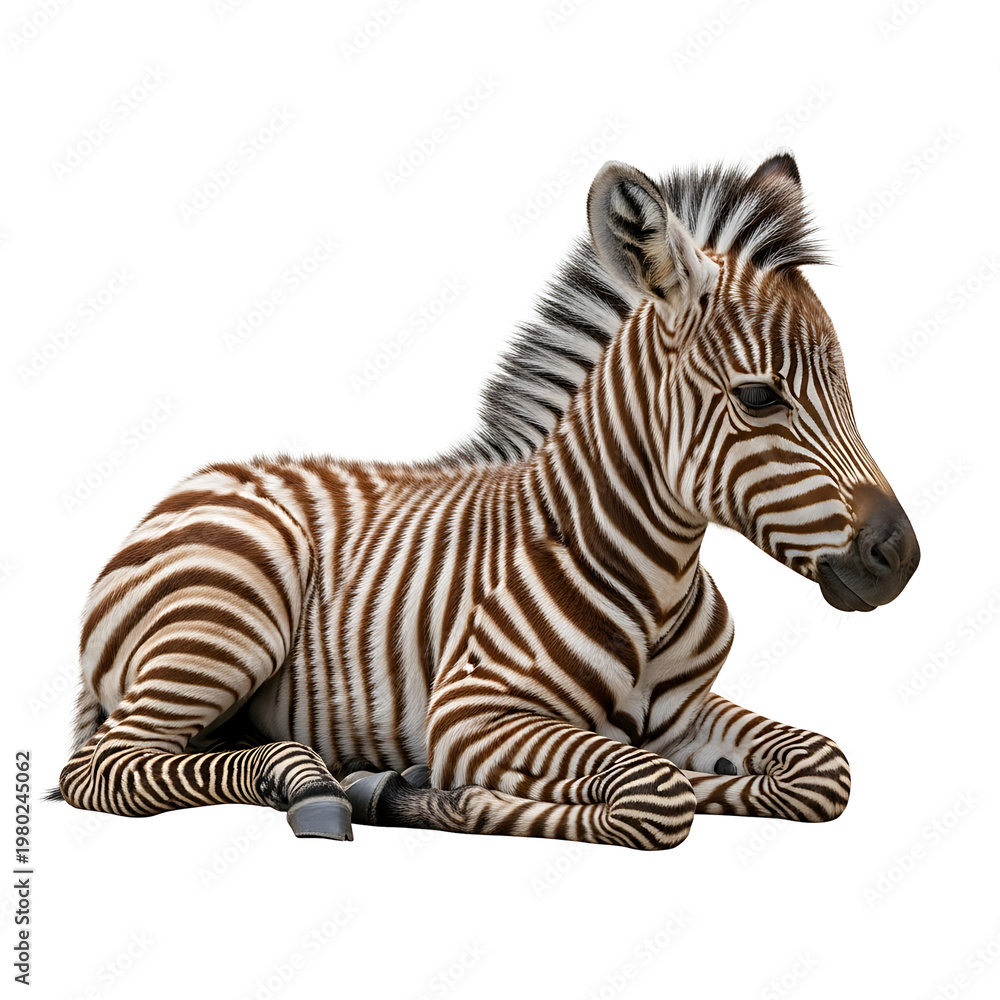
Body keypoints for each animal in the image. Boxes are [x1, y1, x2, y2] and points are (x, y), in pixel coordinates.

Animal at [51, 153, 919, 850]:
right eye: (760, 397)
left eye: (847, 391)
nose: (900, 557)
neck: (652, 576)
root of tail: (192, 484)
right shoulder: (469, 712)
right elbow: (653, 792)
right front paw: (414, 792)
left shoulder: (685, 711)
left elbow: (819, 768)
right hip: (228, 613)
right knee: (106, 769)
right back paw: (308, 783)